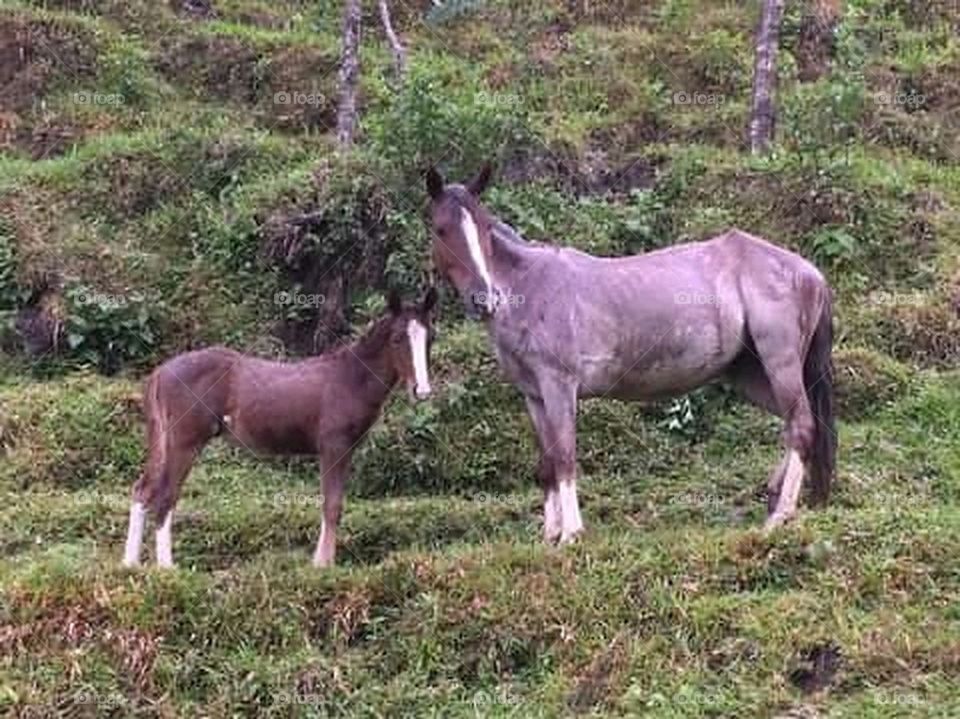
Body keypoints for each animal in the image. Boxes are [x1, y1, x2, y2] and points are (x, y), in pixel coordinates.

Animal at [122, 289, 437, 568]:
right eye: (397, 338)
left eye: (430, 338)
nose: (421, 390)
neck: (350, 378)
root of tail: (160, 372)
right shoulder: (333, 447)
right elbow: (332, 505)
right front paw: (322, 565)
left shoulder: (345, 450)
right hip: (185, 442)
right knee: (165, 496)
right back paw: (166, 568)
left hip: (163, 440)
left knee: (143, 490)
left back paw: (130, 564)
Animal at [425, 165, 835, 543]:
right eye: (441, 229)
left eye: (482, 227)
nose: (484, 298)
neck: (528, 286)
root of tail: (810, 271)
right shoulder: (534, 396)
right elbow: (547, 463)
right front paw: (550, 536)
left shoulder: (559, 387)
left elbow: (565, 456)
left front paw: (571, 534)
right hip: (749, 374)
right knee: (794, 423)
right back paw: (774, 494)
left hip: (780, 363)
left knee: (801, 424)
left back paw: (780, 514)